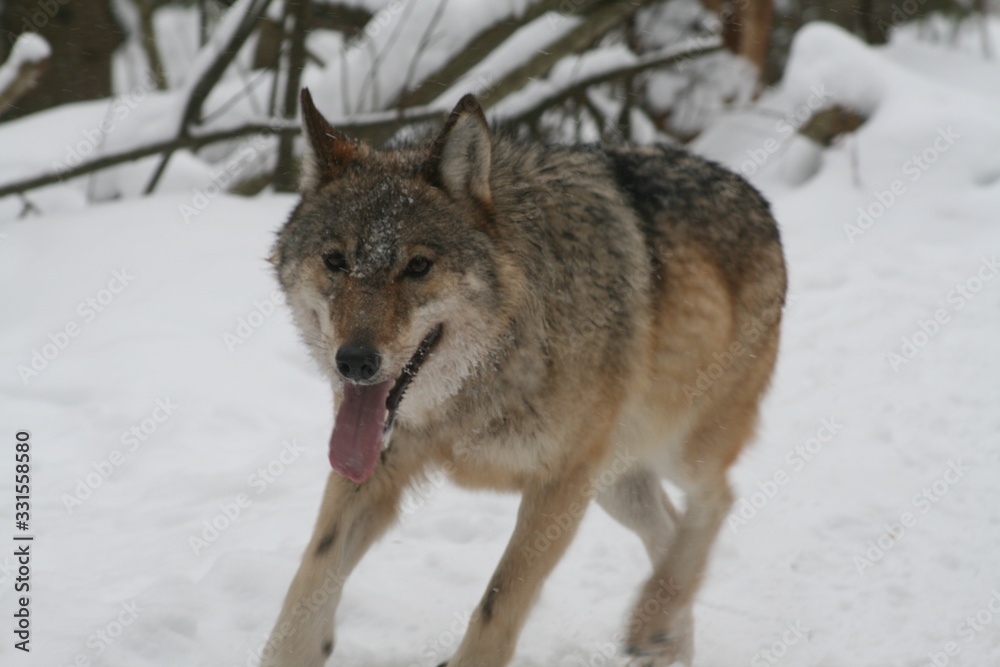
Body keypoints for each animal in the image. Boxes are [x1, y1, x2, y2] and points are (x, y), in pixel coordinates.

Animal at [262, 89, 786, 667]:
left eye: (418, 267)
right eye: (335, 260)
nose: (354, 362)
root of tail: (756, 196)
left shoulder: (561, 484)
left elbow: (499, 604)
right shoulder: (375, 464)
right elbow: (312, 574)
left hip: (674, 450)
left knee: (717, 500)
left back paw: (654, 618)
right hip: (617, 481)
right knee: (669, 526)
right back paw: (662, 636)